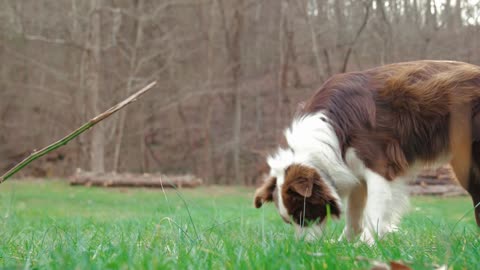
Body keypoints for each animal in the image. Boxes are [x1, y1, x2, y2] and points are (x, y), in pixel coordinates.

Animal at [255, 60, 480, 244]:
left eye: (303, 215)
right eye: (289, 221)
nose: (305, 248)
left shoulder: (379, 166)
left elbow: (373, 211)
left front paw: (367, 244)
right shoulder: (353, 171)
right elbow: (353, 215)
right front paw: (344, 244)